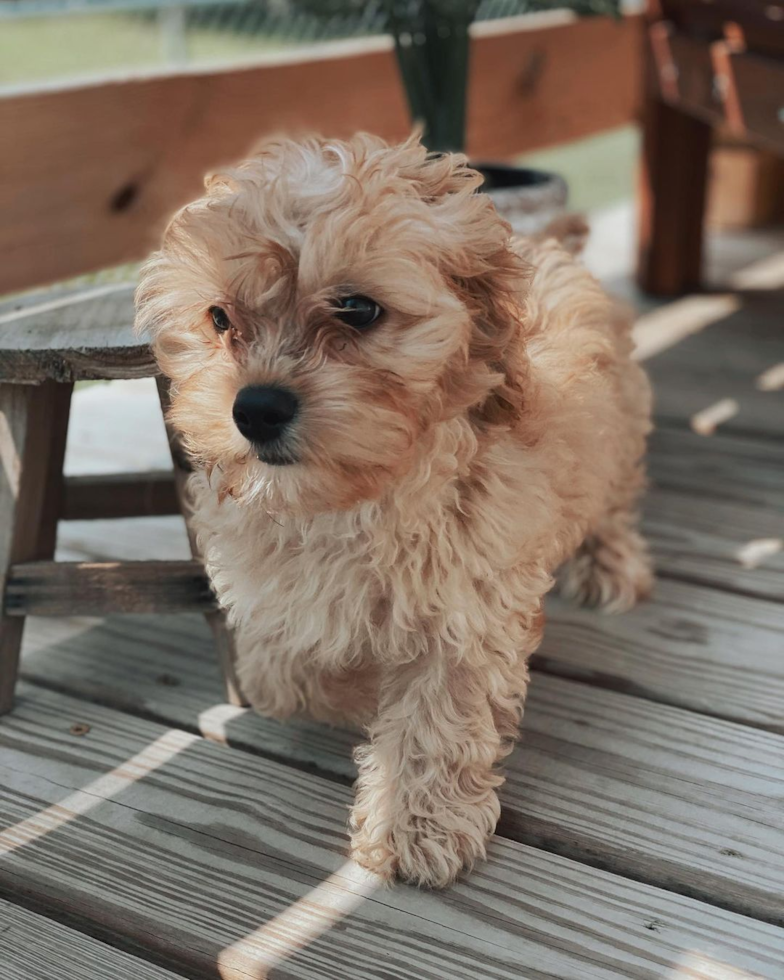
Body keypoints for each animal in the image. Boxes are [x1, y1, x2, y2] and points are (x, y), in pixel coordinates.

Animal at [136, 134, 656, 892]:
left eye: (357, 308)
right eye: (219, 318)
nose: (255, 408)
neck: (343, 503)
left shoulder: (467, 605)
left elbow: (435, 709)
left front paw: (418, 826)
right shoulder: (270, 601)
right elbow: (285, 678)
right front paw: (359, 690)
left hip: (617, 435)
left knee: (613, 500)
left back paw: (610, 564)